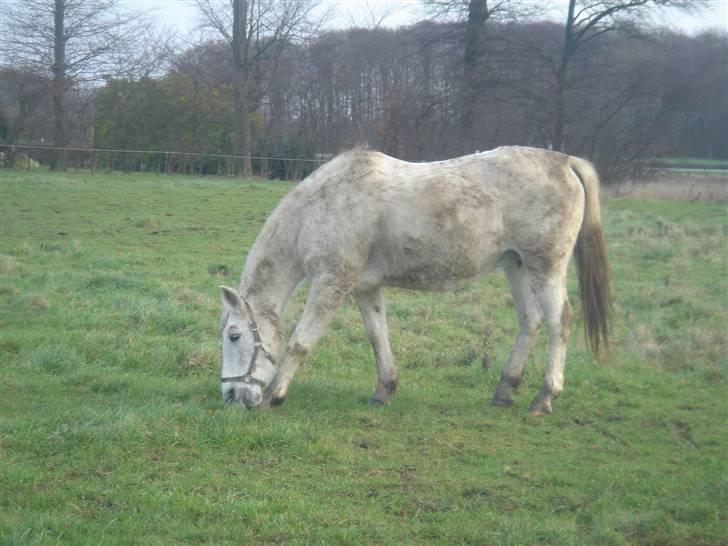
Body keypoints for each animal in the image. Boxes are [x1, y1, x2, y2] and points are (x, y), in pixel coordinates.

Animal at [219, 144, 612, 412]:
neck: (320, 208)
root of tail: (563, 161)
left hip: (546, 267)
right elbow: (377, 336)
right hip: (516, 265)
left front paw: (274, 396)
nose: (230, 394)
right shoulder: (365, 288)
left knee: (559, 322)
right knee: (530, 321)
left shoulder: (331, 283)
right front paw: (384, 390)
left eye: (234, 335)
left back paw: (544, 397)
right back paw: (504, 391)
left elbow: (301, 342)